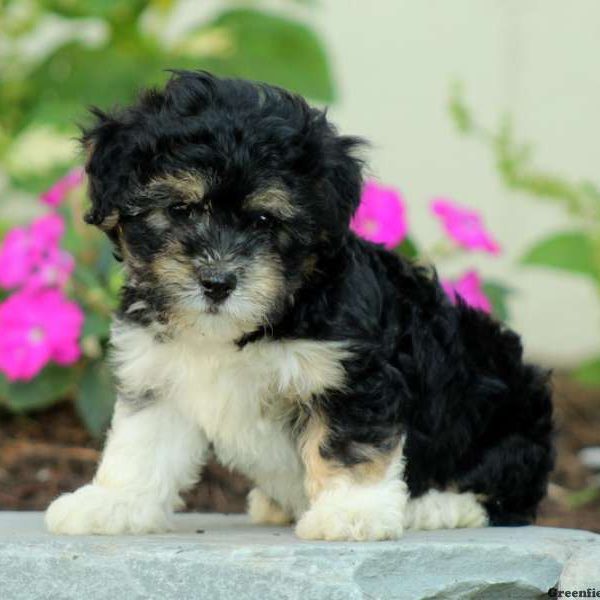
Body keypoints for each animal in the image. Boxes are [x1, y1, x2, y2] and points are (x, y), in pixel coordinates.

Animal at [44, 72, 556, 540]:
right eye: (180, 210)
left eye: (264, 219)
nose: (217, 282)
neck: (238, 331)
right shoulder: (160, 372)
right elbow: (141, 444)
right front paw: (112, 502)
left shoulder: (350, 375)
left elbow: (349, 446)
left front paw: (350, 513)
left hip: (506, 416)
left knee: (506, 493)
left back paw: (437, 507)